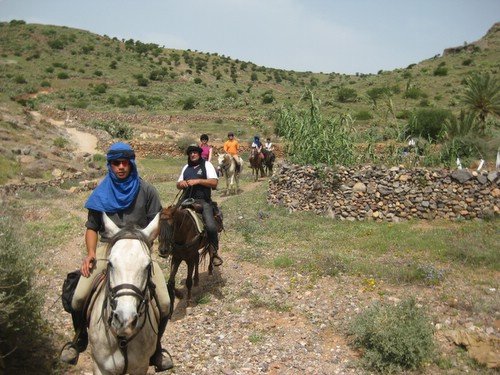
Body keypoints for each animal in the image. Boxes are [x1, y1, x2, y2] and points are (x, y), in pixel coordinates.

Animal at [88, 213, 160, 374]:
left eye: (148, 266)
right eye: (110, 263)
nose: (125, 320)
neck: (122, 341)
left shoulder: (141, 367)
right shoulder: (100, 367)